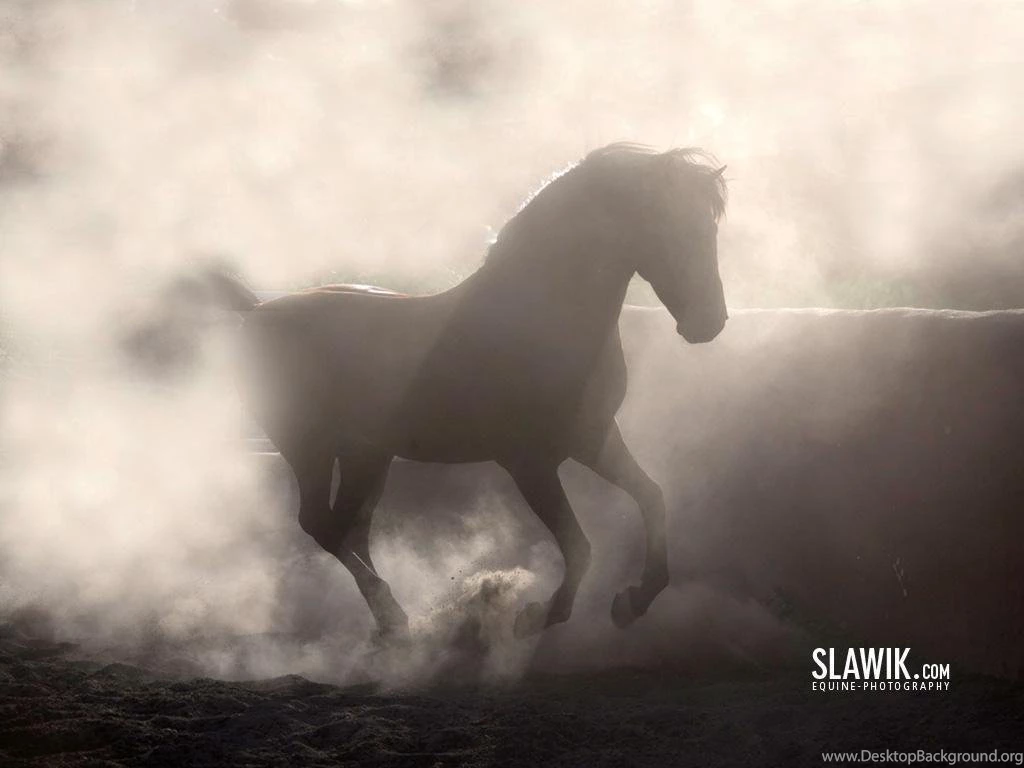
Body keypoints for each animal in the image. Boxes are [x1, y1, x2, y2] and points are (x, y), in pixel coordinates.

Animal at [202, 143, 728, 640]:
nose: (710, 323)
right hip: (306, 446)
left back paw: (393, 625)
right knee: (320, 524)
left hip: (366, 455)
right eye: (670, 224)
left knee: (352, 527)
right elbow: (579, 546)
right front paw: (537, 617)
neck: (542, 317)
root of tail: (257, 309)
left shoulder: (593, 439)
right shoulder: (529, 462)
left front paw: (633, 601)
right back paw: (397, 617)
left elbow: (652, 498)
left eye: (709, 229)